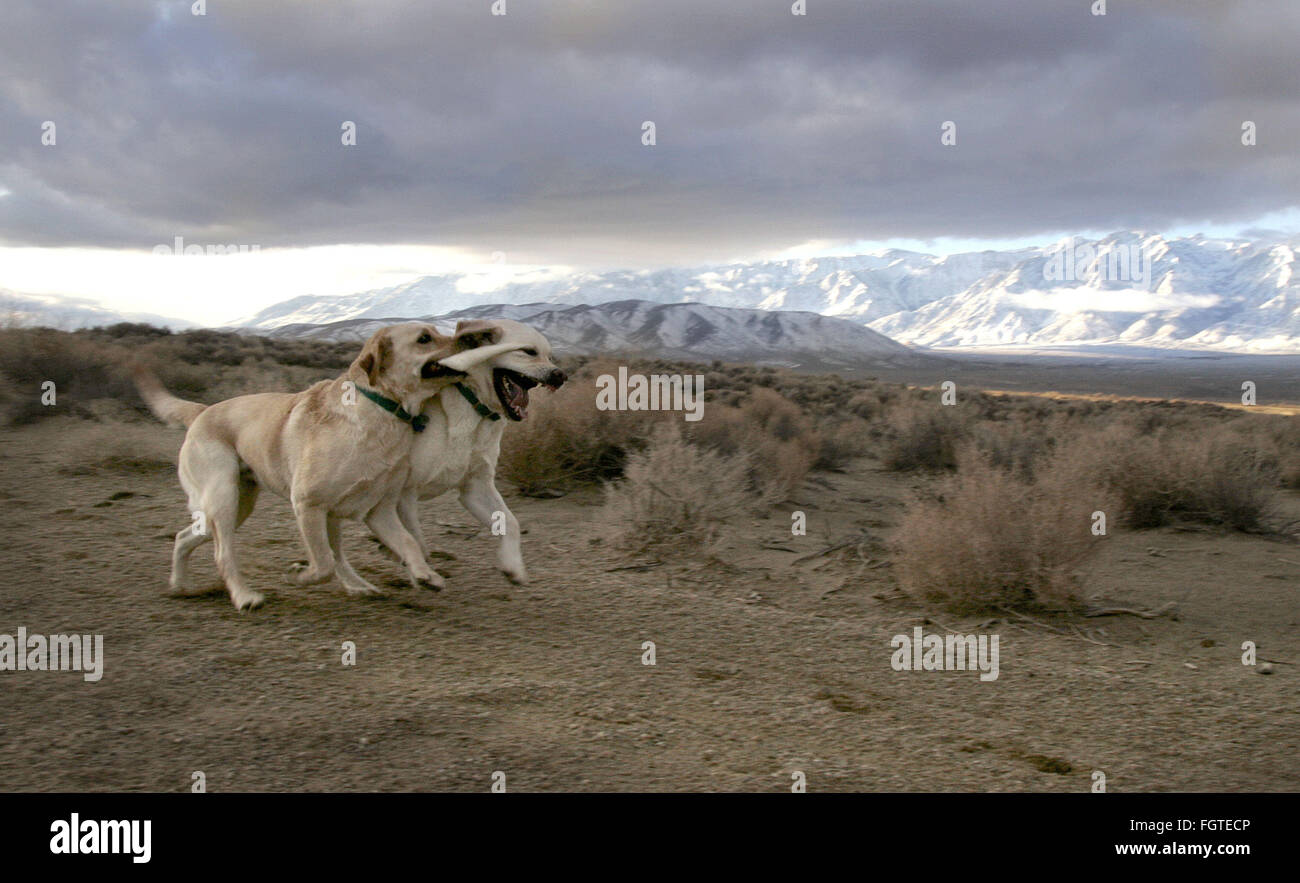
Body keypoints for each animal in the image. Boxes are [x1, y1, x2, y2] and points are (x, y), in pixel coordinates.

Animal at [131, 322, 465, 608]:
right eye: (425, 338)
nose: (467, 339)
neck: (381, 410)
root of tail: (203, 411)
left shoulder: (378, 510)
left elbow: (409, 543)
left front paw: (426, 575)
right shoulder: (308, 504)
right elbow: (323, 563)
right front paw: (300, 575)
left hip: (245, 506)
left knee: (183, 537)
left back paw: (180, 586)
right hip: (225, 499)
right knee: (223, 554)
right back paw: (244, 596)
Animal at [390, 317, 564, 587]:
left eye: (549, 356)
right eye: (528, 352)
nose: (560, 375)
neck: (475, 410)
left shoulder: (476, 487)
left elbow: (511, 522)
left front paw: (512, 566)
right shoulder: (403, 491)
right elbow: (413, 538)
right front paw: (421, 573)